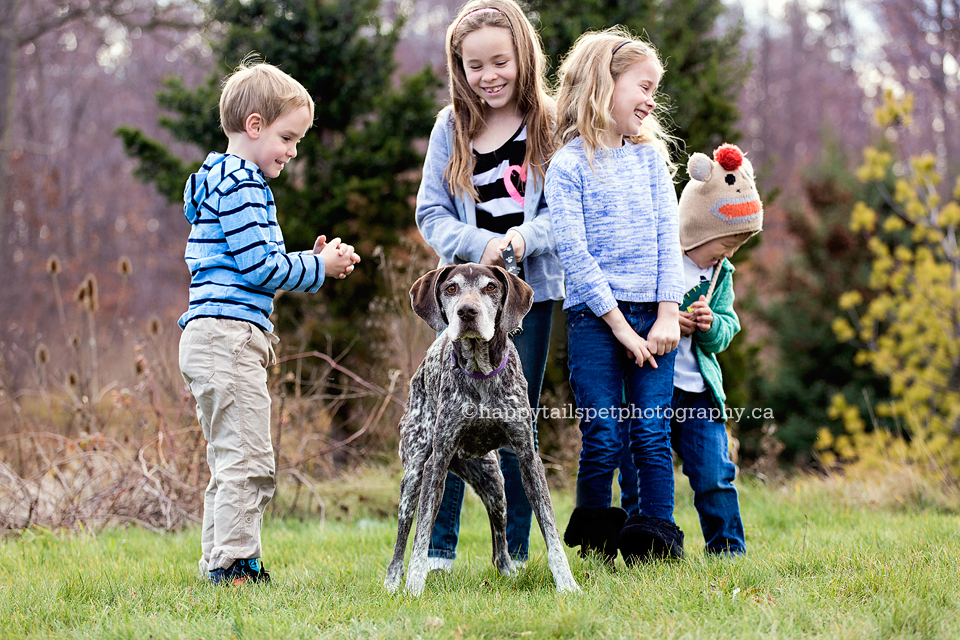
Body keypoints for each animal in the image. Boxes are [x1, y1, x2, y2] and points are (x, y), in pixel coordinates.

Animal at [382, 264, 576, 596]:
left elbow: (550, 530)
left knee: (500, 544)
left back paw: (509, 572)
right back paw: (393, 582)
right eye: (451, 288)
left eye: (490, 287)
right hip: (414, 476)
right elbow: (420, 538)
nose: (467, 311)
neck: (481, 372)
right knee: (402, 537)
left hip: (494, 482)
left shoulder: (528, 459)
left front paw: (567, 583)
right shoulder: (437, 462)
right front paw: (414, 587)